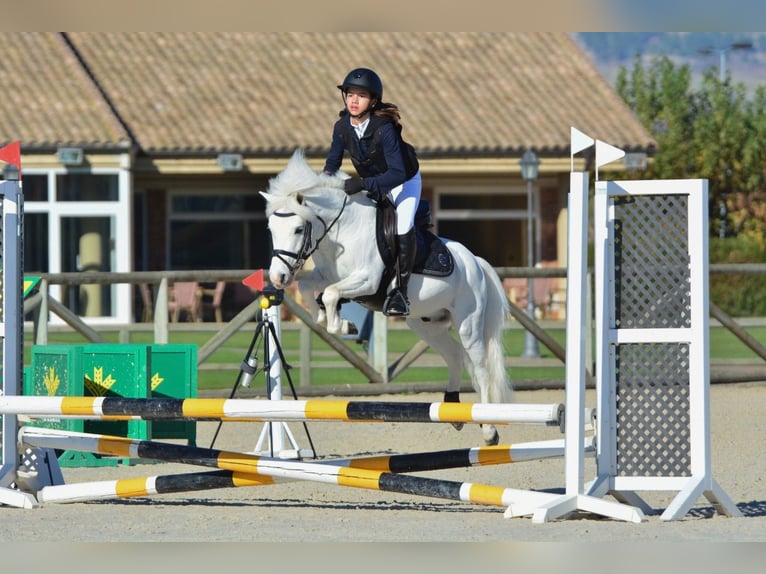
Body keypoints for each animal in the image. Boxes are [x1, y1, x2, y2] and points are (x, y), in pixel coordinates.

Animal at [262, 150, 516, 446]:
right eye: (271, 228)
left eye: (298, 229)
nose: (277, 277)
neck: (343, 230)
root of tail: (474, 261)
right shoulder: (325, 275)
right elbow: (309, 289)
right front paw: (327, 320)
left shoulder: (367, 280)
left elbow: (331, 294)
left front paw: (340, 324)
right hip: (425, 324)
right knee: (454, 355)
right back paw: (453, 409)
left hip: (468, 323)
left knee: (481, 366)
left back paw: (488, 430)